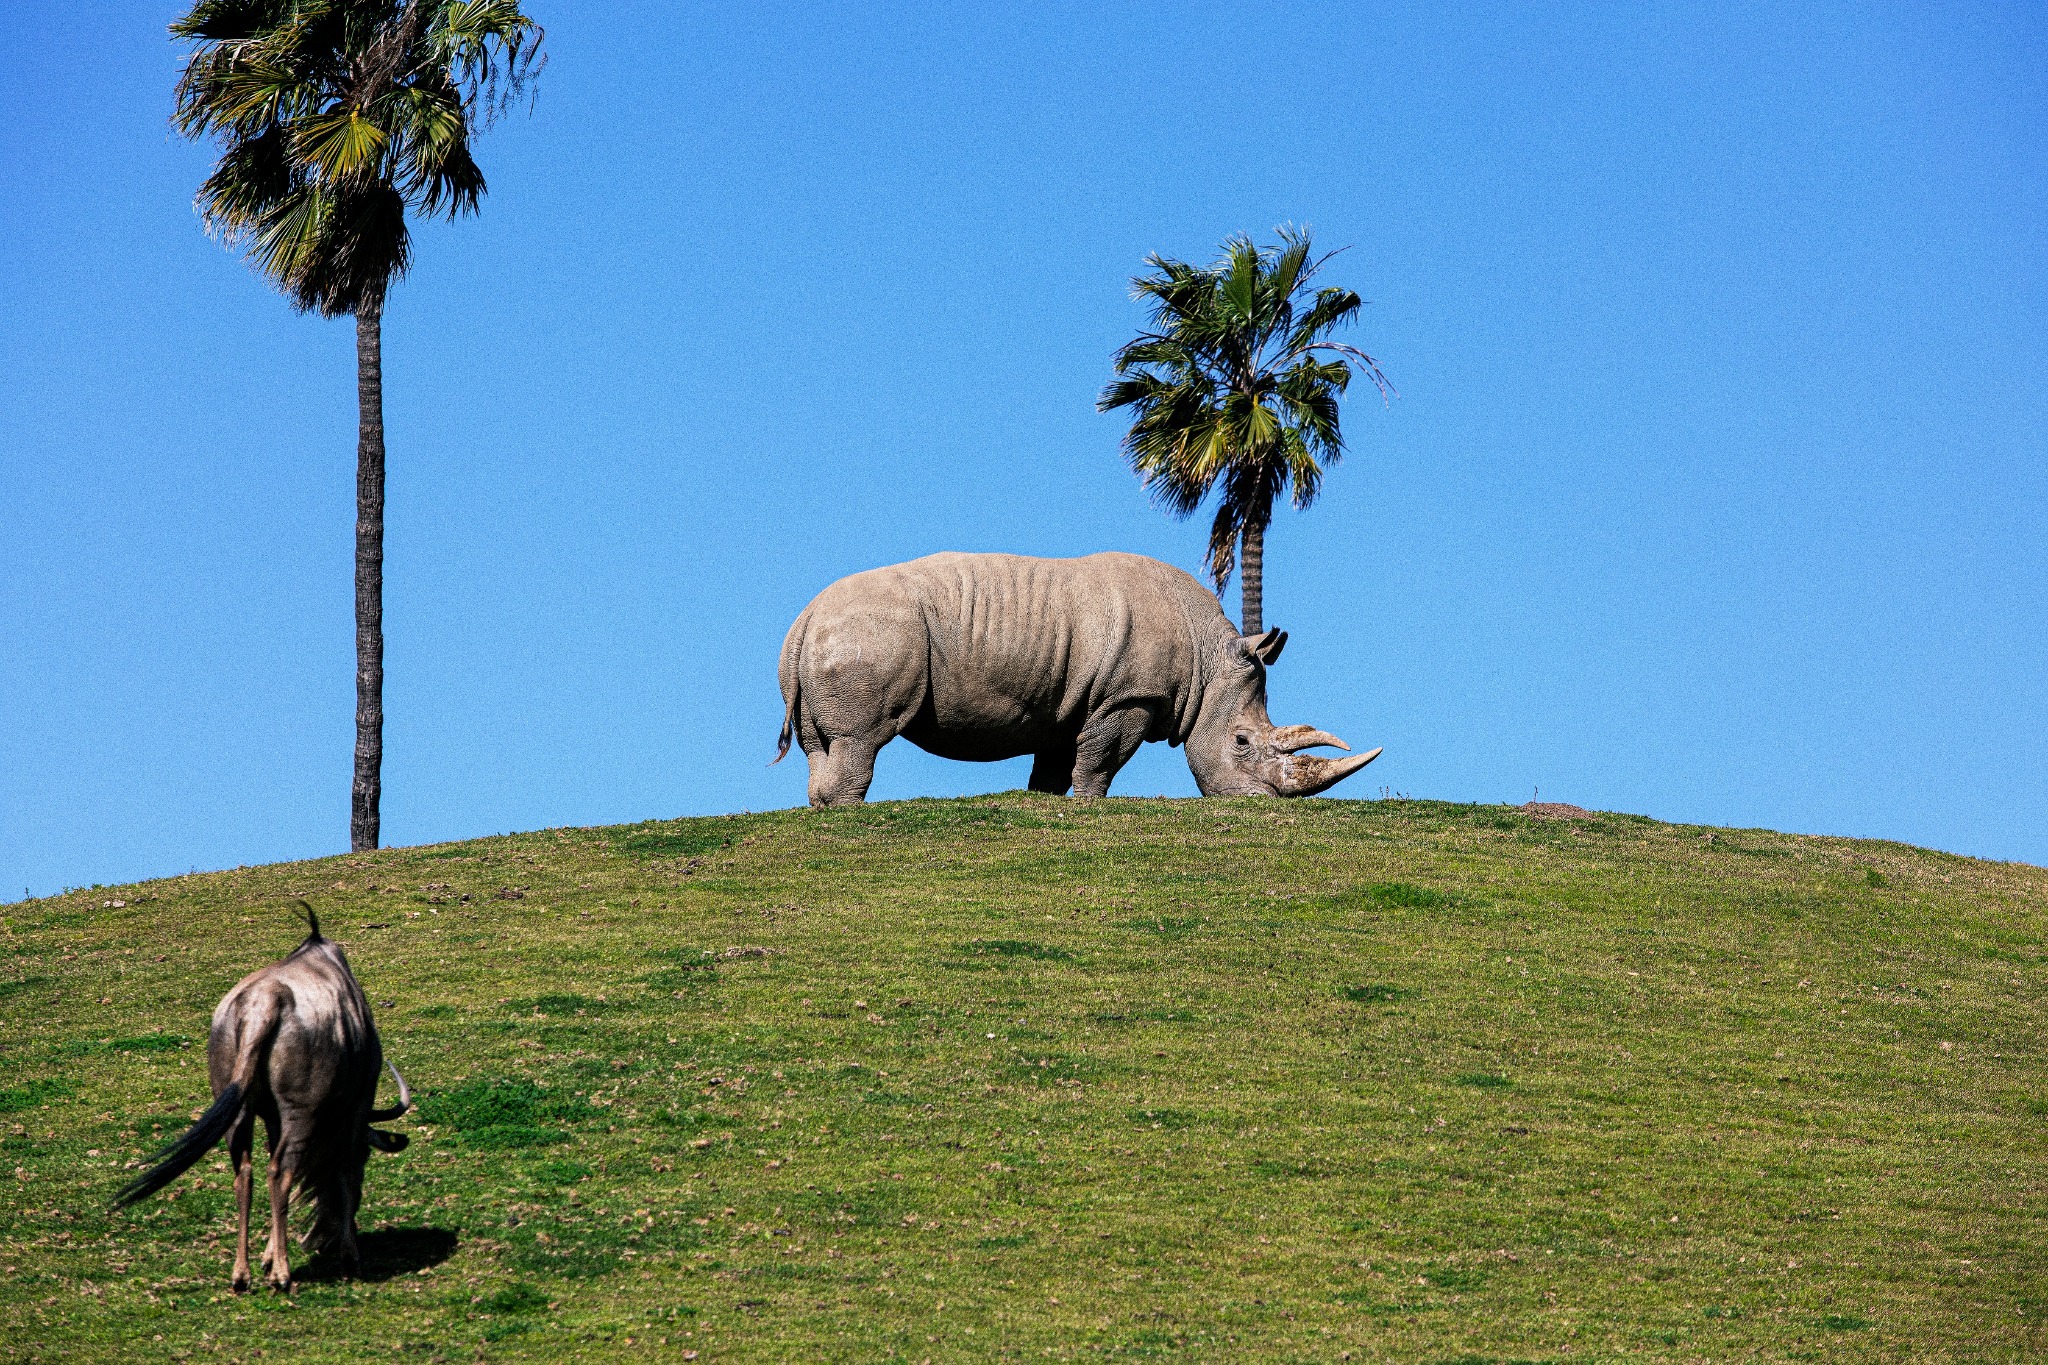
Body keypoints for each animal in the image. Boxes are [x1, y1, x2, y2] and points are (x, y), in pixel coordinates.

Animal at [775, 551, 1380, 807]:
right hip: (870, 633)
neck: (1208, 660)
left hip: (825, 642)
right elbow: (1099, 762)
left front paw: (1046, 803)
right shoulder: (1128, 696)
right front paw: (1090, 808)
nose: (1263, 803)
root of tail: (804, 619)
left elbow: (1055, 766)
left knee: (821, 748)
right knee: (863, 739)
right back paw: (851, 815)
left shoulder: (1070, 702)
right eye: (1241, 742)